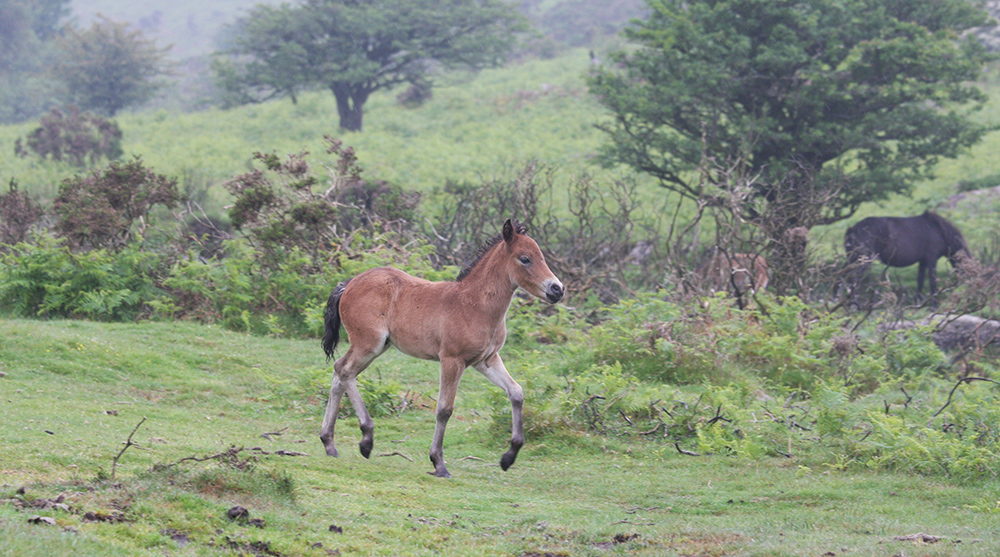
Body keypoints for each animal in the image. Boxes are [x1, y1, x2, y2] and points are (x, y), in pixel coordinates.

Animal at [320, 219, 564, 476]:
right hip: (369, 344)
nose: (557, 289)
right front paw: (438, 462)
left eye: (542, 256)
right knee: (344, 371)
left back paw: (329, 443)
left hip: (377, 347)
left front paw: (508, 457)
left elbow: (516, 392)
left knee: (340, 373)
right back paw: (366, 439)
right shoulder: (452, 360)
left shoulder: (486, 360)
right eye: (525, 258)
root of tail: (348, 284)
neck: (475, 306)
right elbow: (445, 409)